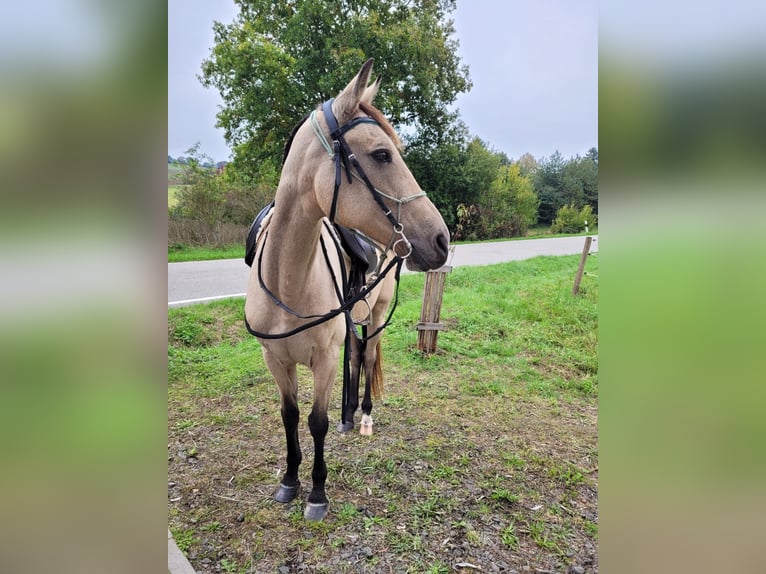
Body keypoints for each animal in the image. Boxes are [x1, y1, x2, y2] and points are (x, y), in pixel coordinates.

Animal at [244, 59, 449, 521]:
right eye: (381, 154)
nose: (443, 240)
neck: (288, 280)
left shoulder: (323, 360)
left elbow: (315, 421)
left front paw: (317, 493)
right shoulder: (275, 360)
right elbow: (290, 416)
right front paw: (290, 481)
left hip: (377, 313)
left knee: (368, 355)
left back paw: (366, 417)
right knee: (356, 357)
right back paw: (349, 415)